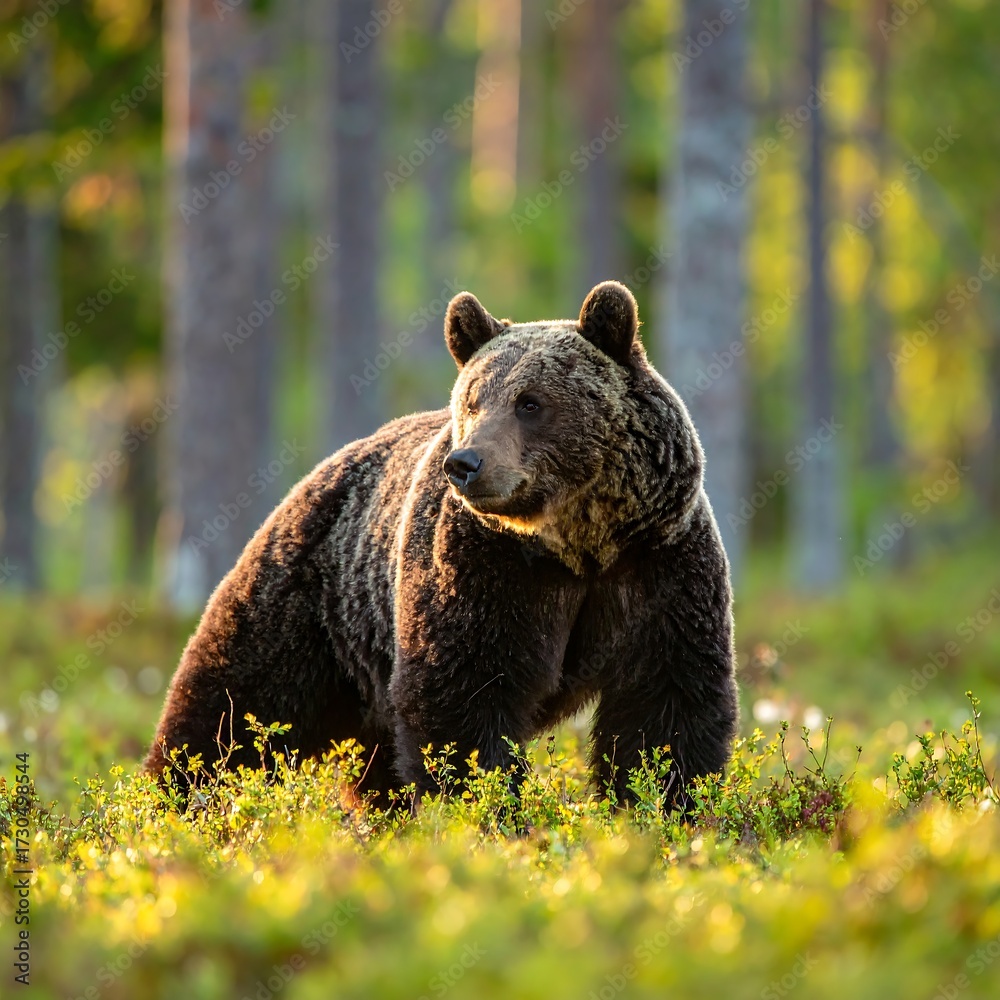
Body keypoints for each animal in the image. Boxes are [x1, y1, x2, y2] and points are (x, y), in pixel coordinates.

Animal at [144, 280, 738, 809]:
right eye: (472, 401)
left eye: (530, 402)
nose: (466, 463)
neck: (577, 544)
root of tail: (317, 475)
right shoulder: (483, 565)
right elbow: (462, 695)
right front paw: (489, 810)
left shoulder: (656, 562)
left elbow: (664, 706)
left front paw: (663, 806)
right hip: (308, 605)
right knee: (231, 707)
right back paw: (168, 799)